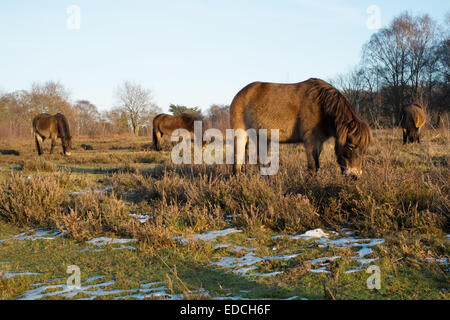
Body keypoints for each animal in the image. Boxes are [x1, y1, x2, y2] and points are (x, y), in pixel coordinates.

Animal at [230, 77, 370, 178]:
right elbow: (313, 167)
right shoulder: (311, 141)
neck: (322, 106)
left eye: (364, 149)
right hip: (241, 136)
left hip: (262, 138)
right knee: (237, 163)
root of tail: (240, 94)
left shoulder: (319, 143)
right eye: (351, 146)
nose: (355, 176)